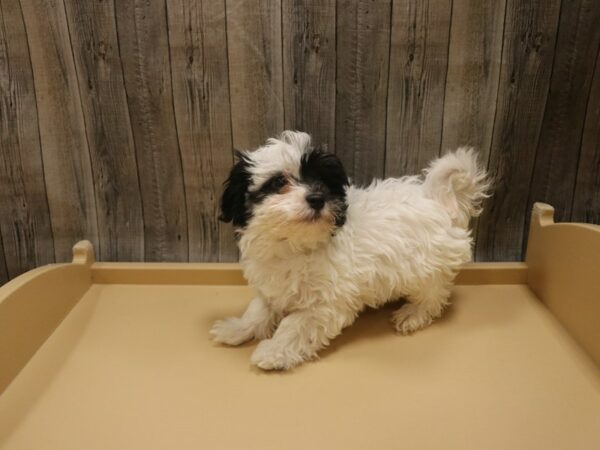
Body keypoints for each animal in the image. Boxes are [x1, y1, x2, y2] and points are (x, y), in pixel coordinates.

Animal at [210, 130, 488, 370]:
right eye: (279, 181)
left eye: (323, 182)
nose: (317, 198)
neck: (295, 245)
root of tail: (437, 198)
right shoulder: (273, 284)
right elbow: (258, 309)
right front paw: (237, 328)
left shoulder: (326, 304)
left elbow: (294, 324)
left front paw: (273, 351)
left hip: (424, 266)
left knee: (434, 294)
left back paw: (414, 313)